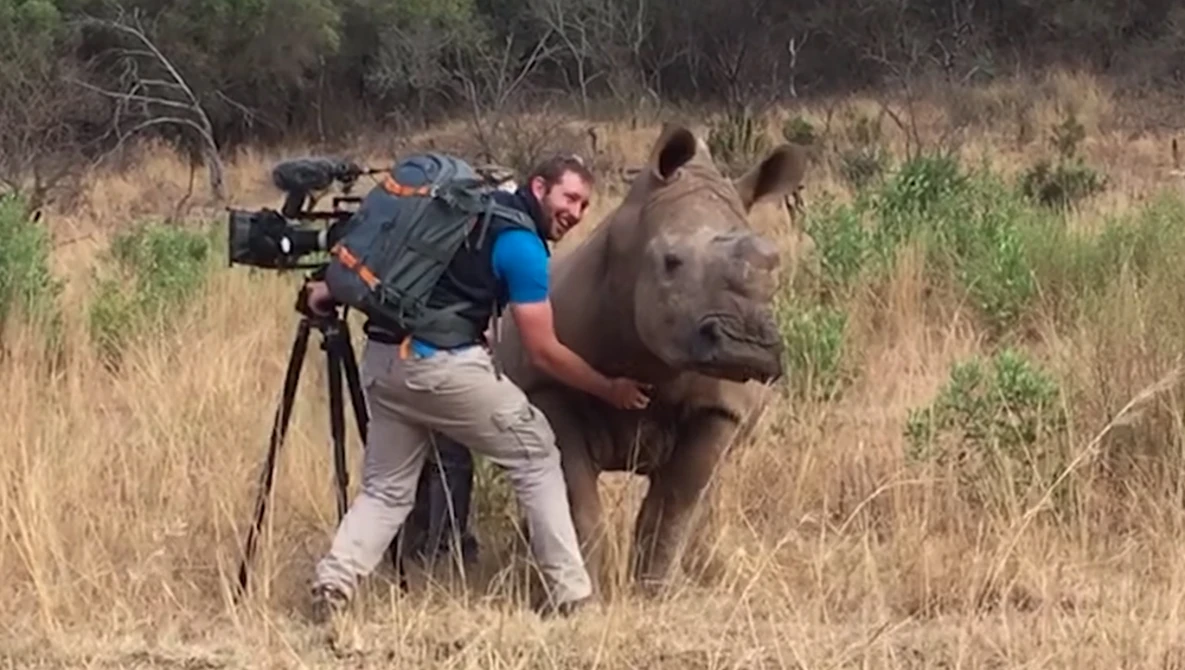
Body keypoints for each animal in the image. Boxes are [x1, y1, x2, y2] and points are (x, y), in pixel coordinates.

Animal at [460, 123, 806, 594]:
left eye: (774, 267)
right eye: (671, 262)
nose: (746, 346)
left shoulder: (722, 405)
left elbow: (676, 501)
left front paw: (655, 590)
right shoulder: (546, 387)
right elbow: (575, 495)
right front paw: (596, 587)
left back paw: (705, 572)